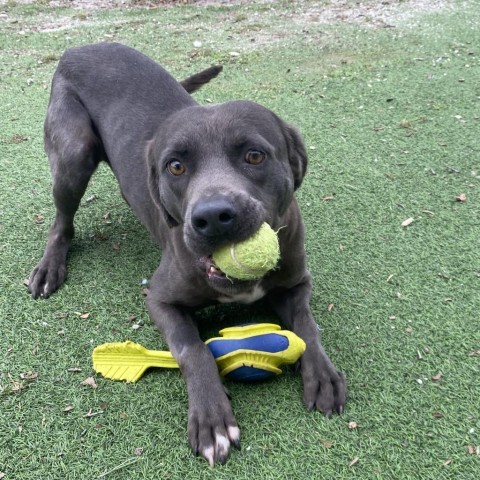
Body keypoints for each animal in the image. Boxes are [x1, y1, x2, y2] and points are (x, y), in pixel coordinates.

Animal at [29, 43, 344, 466]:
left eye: (255, 156)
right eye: (175, 166)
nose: (213, 217)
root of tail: (78, 48)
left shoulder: (296, 283)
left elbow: (308, 326)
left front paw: (322, 374)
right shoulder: (160, 299)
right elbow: (193, 350)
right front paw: (212, 418)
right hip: (72, 154)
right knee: (62, 220)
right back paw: (50, 266)